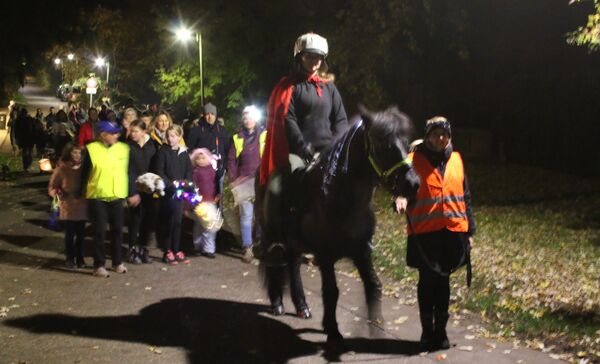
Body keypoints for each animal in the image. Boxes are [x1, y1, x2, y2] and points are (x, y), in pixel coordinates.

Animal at [255, 106, 420, 350]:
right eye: (383, 144)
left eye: (406, 143)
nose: (413, 183)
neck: (340, 196)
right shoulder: (325, 255)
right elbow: (331, 291)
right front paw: (332, 330)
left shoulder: (362, 252)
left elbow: (374, 285)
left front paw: (375, 326)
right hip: (272, 236)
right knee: (275, 262)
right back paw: (277, 304)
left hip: (295, 242)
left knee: (293, 266)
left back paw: (302, 306)